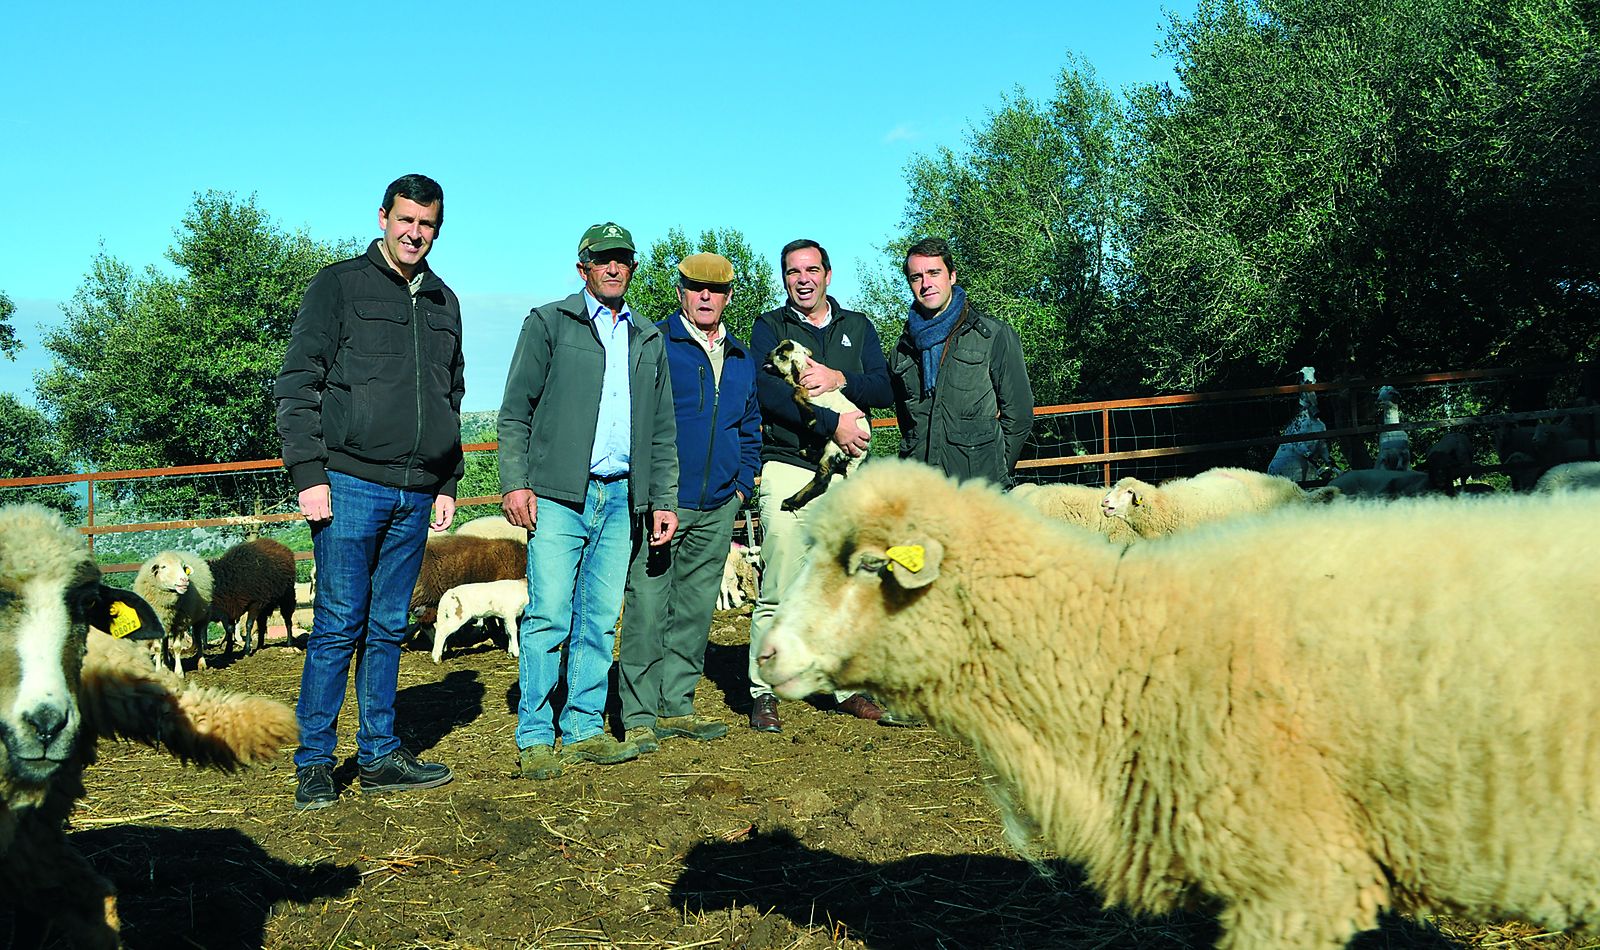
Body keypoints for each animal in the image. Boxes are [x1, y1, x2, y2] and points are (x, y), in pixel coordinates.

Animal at [767, 339, 870, 511]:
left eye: (782, 355)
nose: (766, 355)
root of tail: (860, 457)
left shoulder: (808, 392)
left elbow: (795, 394)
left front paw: (810, 420)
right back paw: (806, 452)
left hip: (835, 446)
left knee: (823, 479)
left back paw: (790, 501)